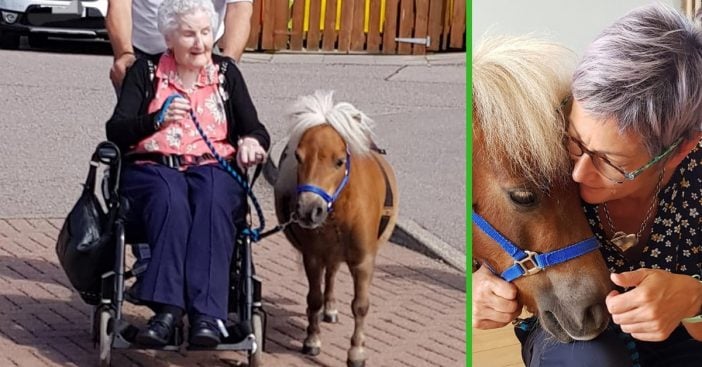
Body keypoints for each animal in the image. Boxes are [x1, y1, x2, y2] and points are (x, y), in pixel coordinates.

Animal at [274, 90, 398, 366]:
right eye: (298, 157)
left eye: (340, 161)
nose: (308, 210)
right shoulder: (312, 256)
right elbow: (314, 298)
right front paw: (312, 340)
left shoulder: (363, 261)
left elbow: (360, 305)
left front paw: (356, 352)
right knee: (329, 276)